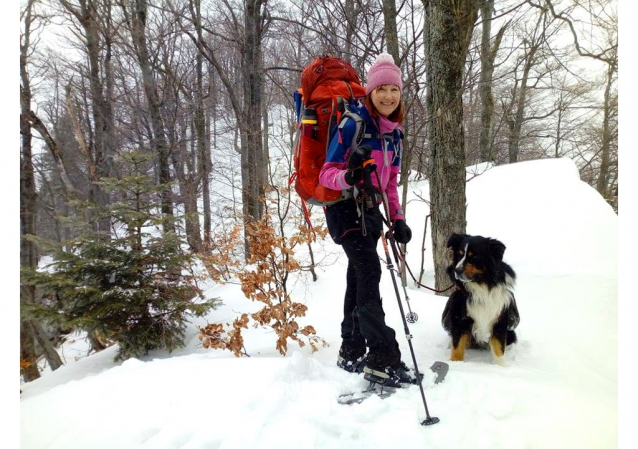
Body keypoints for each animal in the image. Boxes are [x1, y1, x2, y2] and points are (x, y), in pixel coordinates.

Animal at [442, 233, 524, 362]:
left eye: (474, 256)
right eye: (460, 254)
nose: (457, 270)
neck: (482, 285)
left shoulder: (499, 319)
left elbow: (499, 348)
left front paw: (501, 365)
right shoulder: (458, 317)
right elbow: (457, 346)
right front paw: (456, 363)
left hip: (510, 333)